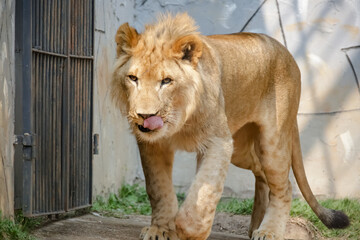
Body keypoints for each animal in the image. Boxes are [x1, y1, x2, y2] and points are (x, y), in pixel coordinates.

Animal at [112, 13, 348, 240]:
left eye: (166, 81)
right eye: (133, 78)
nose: (145, 116)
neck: (179, 118)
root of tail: (286, 52)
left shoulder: (219, 141)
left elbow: (204, 192)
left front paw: (191, 231)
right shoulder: (153, 146)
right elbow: (159, 189)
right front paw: (159, 230)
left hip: (271, 141)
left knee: (284, 186)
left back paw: (268, 231)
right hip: (241, 148)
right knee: (261, 173)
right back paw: (255, 226)